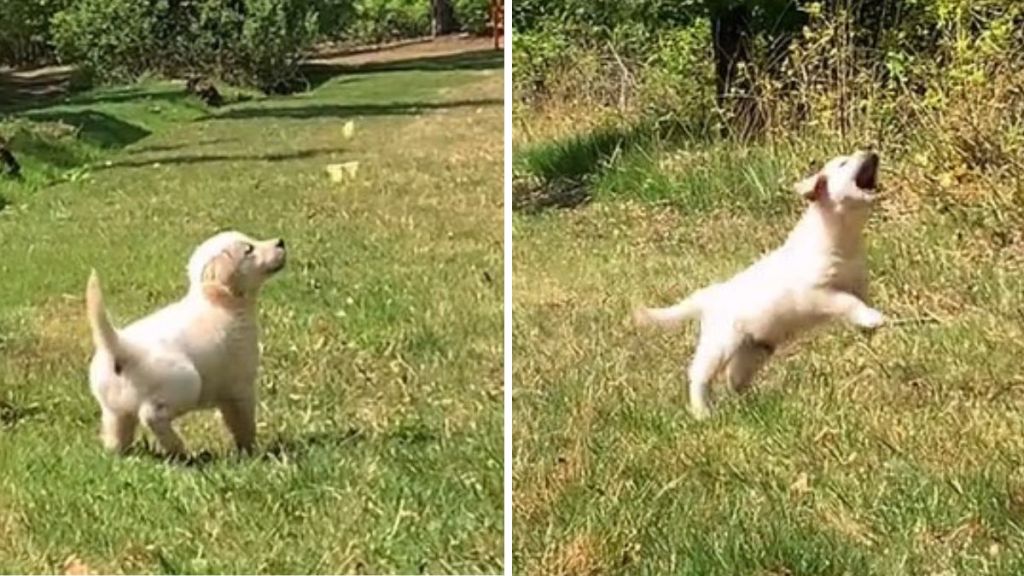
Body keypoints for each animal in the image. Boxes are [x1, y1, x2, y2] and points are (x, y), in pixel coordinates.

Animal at [83, 230, 288, 455]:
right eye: (248, 249)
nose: (281, 241)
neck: (220, 302)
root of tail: (122, 348)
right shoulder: (240, 387)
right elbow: (243, 423)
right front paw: (251, 452)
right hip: (187, 383)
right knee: (151, 416)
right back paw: (179, 449)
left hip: (114, 411)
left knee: (117, 433)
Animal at [630, 147, 888, 416]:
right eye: (843, 163)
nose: (872, 151)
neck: (842, 239)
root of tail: (710, 295)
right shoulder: (817, 293)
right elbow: (847, 302)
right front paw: (874, 319)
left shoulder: (858, 283)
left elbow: (860, 302)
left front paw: (868, 326)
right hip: (720, 342)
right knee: (699, 375)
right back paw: (703, 413)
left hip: (753, 349)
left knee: (733, 378)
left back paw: (749, 405)